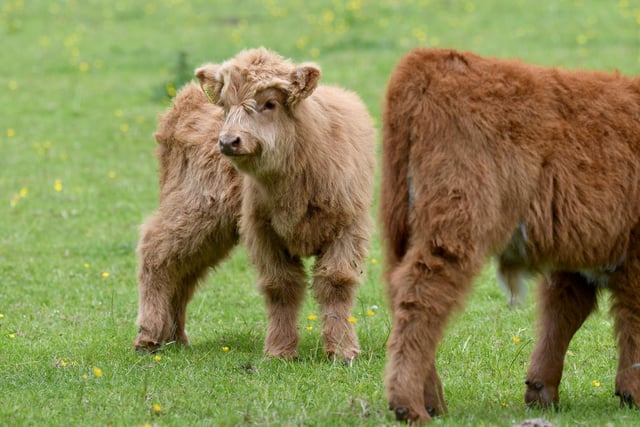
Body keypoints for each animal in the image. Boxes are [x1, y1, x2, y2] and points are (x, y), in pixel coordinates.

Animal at [134, 82, 241, 352]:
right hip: (202, 210)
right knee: (157, 250)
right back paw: (149, 336)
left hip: (214, 229)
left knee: (181, 270)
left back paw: (174, 337)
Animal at [195, 47, 376, 362]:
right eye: (226, 105)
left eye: (270, 103)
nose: (229, 141)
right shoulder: (263, 233)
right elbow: (280, 286)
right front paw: (279, 350)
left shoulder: (348, 229)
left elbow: (336, 283)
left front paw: (342, 350)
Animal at [380, 48, 640, 422]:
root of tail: (432, 58)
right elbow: (632, 320)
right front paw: (633, 391)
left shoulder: (577, 259)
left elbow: (562, 313)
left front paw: (541, 390)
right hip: (455, 227)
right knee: (422, 294)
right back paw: (410, 407)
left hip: (399, 227)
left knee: (398, 294)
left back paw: (433, 401)